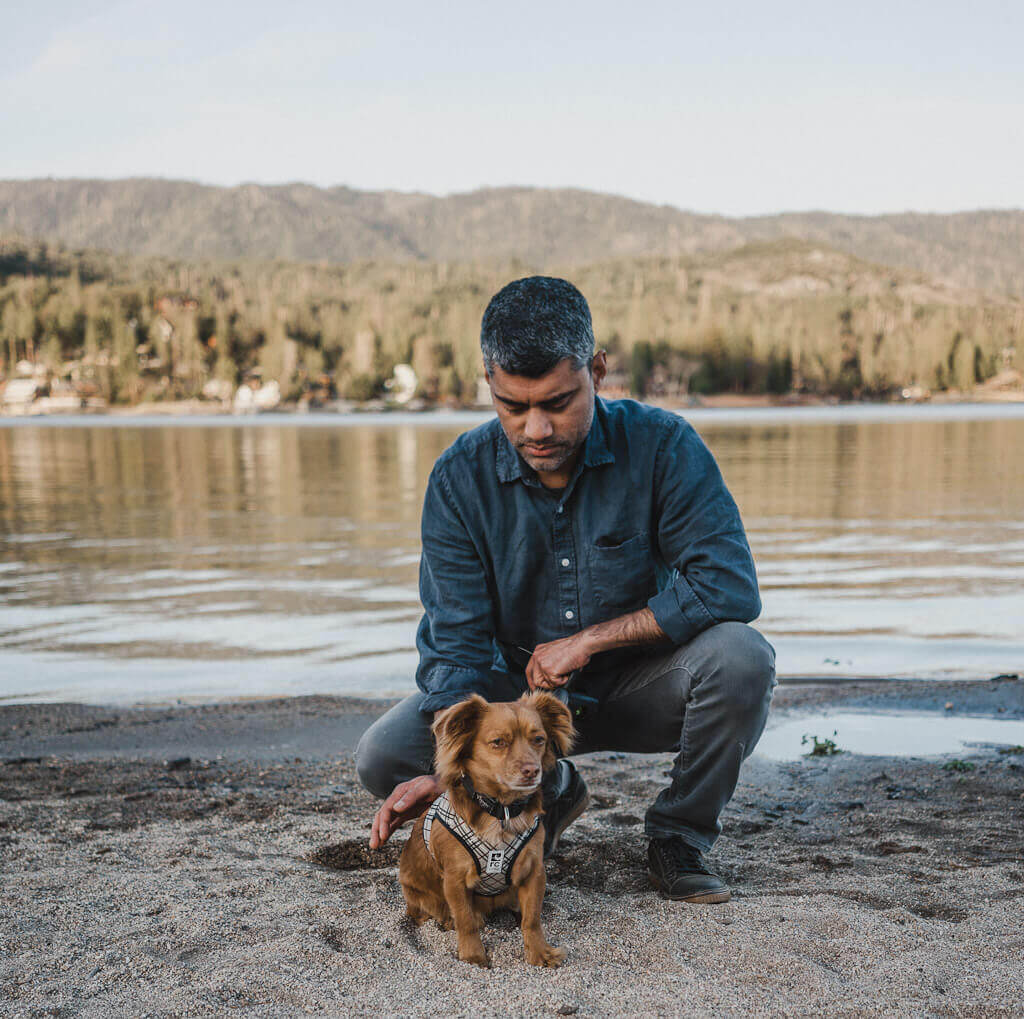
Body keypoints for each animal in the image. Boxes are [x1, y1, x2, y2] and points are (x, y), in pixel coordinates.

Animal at [397, 688, 577, 966]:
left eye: (538, 739)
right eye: (498, 742)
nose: (532, 770)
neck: (502, 811)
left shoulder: (533, 872)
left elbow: (532, 919)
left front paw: (539, 952)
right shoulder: (455, 880)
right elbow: (466, 921)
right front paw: (473, 956)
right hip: (416, 891)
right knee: (432, 913)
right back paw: (447, 919)